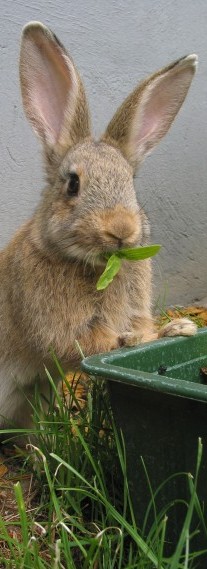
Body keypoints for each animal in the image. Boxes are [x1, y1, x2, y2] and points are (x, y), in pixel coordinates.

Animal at [0, 24, 197, 428]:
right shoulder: (63, 330)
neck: (99, 264)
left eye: (130, 183)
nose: (120, 229)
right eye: (73, 184)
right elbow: (98, 344)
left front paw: (181, 328)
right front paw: (159, 335)